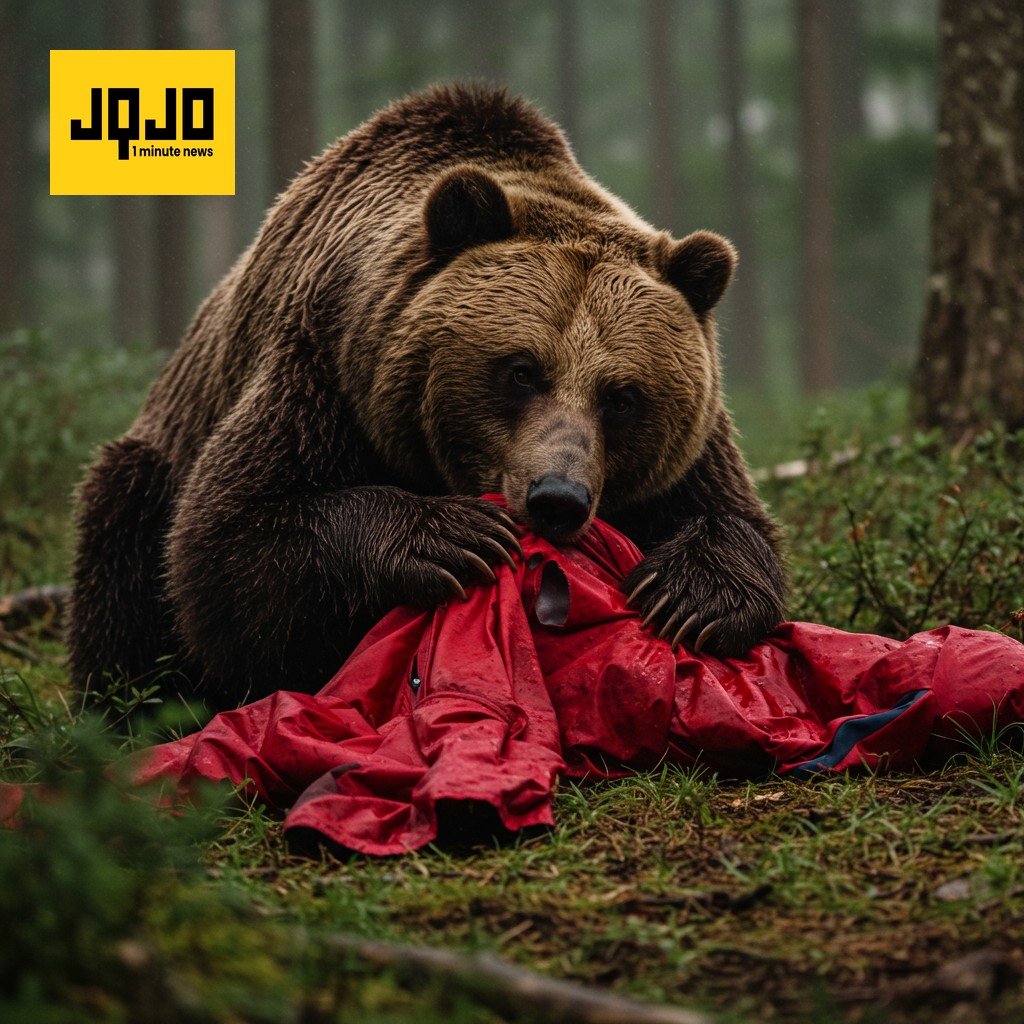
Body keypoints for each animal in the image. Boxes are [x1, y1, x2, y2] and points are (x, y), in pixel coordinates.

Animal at [67, 84, 786, 711]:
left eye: (621, 396)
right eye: (521, 370)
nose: (557, 498)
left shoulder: (695, 442)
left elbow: (738, 520)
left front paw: (691, 595)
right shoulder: (321, 366)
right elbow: (227, 547)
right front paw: (452, 537)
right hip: (158, 452)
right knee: (122, 532)